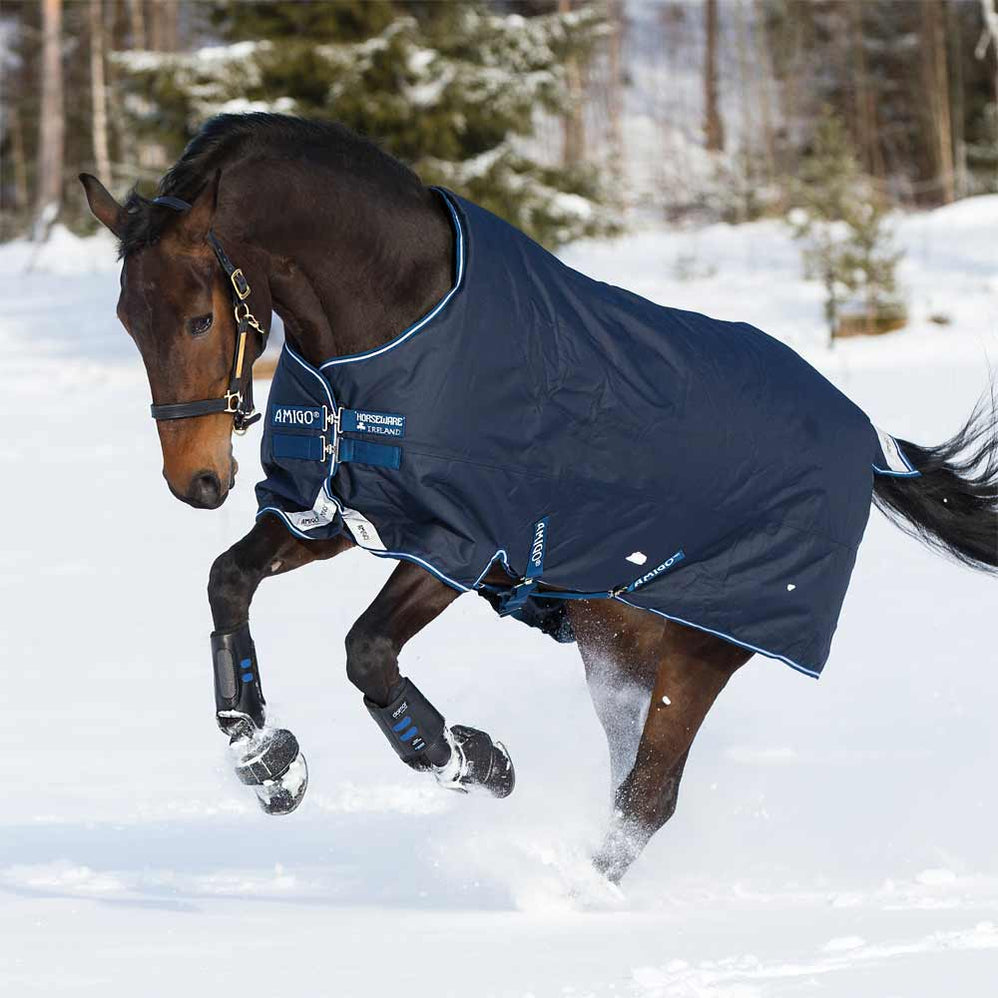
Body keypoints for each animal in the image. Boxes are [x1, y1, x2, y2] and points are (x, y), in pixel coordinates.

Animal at [79, 114, 998, 883]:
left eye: (200, 319)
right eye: (127, 319)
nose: (196, 481)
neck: (396, 322)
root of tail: (865, 438)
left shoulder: (455, 541)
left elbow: (367, 651)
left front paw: (472, 758)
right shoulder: (333, 511)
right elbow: (227, 582)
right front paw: (268, 761)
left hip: (705, 646)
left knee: (648, 796)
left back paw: (569, 900)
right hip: (616, 641)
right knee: (632, 781)